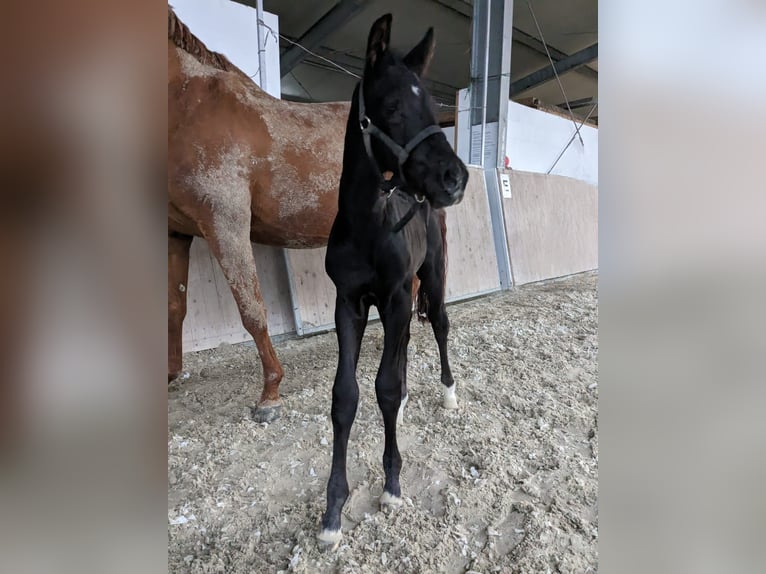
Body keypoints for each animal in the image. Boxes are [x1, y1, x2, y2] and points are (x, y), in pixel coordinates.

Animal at [318, 13, 468, 552]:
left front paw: (392, 485)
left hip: (431, 280)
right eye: (392, 106)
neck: (367, 226)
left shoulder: (400, 295)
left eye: (433, 106)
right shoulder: (350, 303)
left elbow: (382, 384)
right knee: (402, 348)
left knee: (439, 327)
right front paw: (332, 514)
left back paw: (447, 394)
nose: (455, 178)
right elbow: (346, 397)